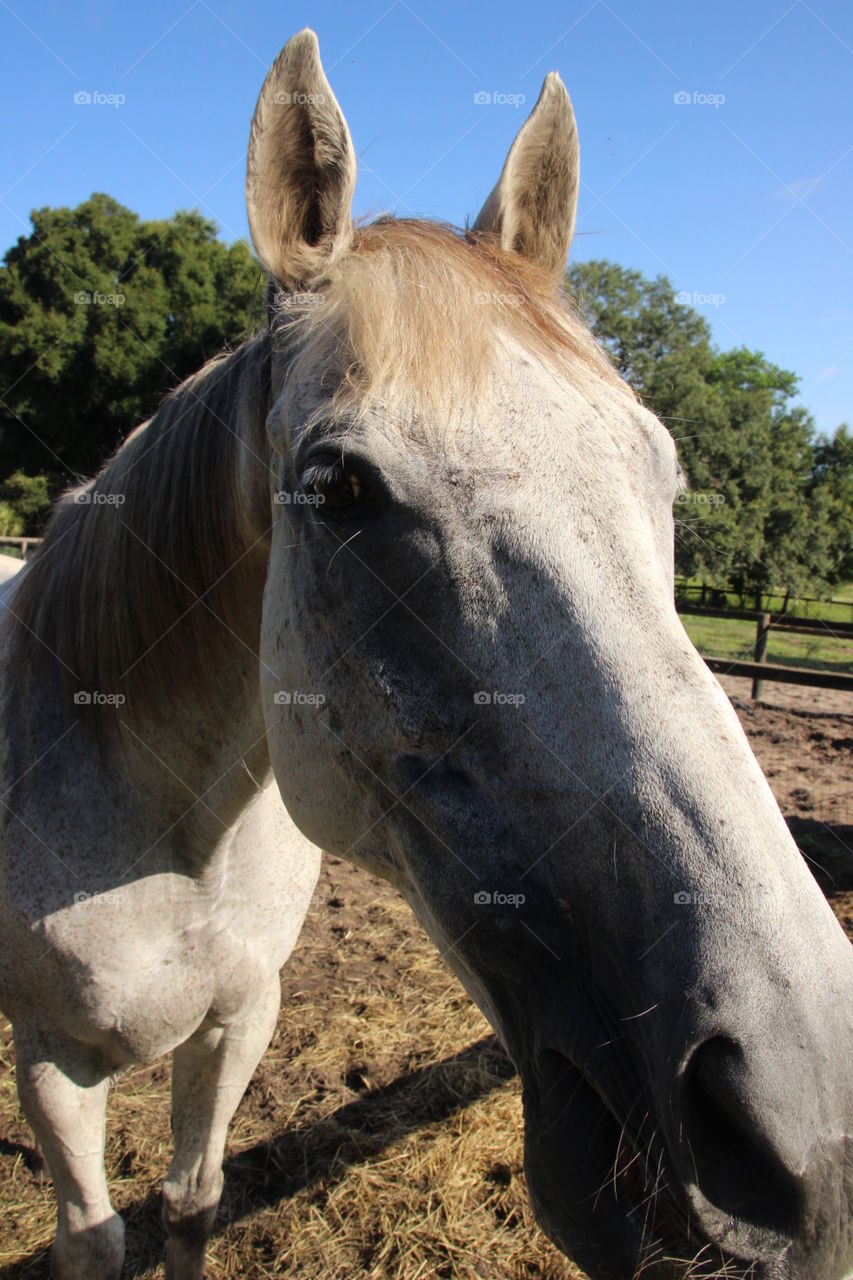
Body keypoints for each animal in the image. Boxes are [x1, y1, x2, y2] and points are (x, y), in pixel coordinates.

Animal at [1, 27, 850, 1280]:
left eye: (662, 468)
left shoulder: (238, 1019)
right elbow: (97, 1238)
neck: (164, 826)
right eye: (339, 487)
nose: (809, 1136)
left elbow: (192, 1203)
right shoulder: (53, 1063)